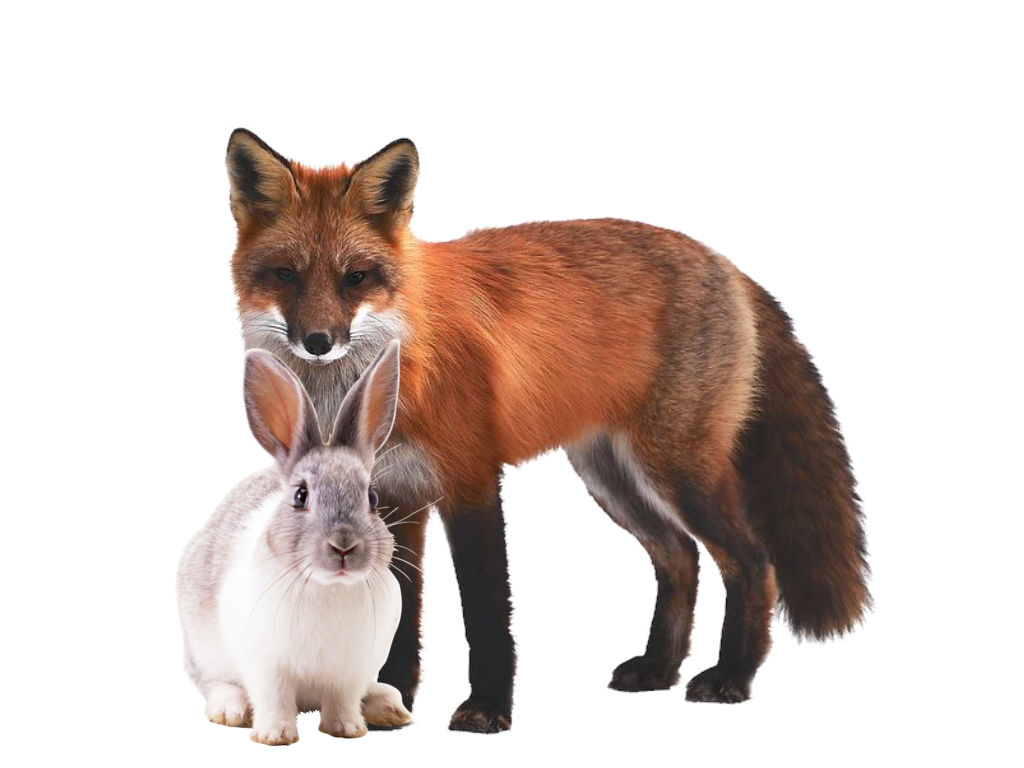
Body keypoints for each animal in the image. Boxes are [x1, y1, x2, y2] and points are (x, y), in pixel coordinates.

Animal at [177, 340, 411, 745]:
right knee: (212, 682)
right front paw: (274, 736)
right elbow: (273, 699)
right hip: (204, 650)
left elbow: (343, 700)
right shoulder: (266, 667)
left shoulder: (349, 672)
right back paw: (231, 709)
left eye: (372, 498)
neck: (328, 587)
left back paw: (387, 706)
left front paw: (347, 730)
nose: (344, 546)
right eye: (301, 496)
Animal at [225, 129, 870, 733]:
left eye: (355, 278)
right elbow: (396, 613)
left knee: (752, 562)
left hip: (679, 470)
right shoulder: (394, 497)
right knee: (680, 557)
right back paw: (659, 668)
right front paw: (385, 699)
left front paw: (487, 709)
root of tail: (727, 264)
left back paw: (732, 676)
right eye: (285, 275)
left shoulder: (472, 481)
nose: (318, 341)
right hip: (611, 477)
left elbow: (485, 610)